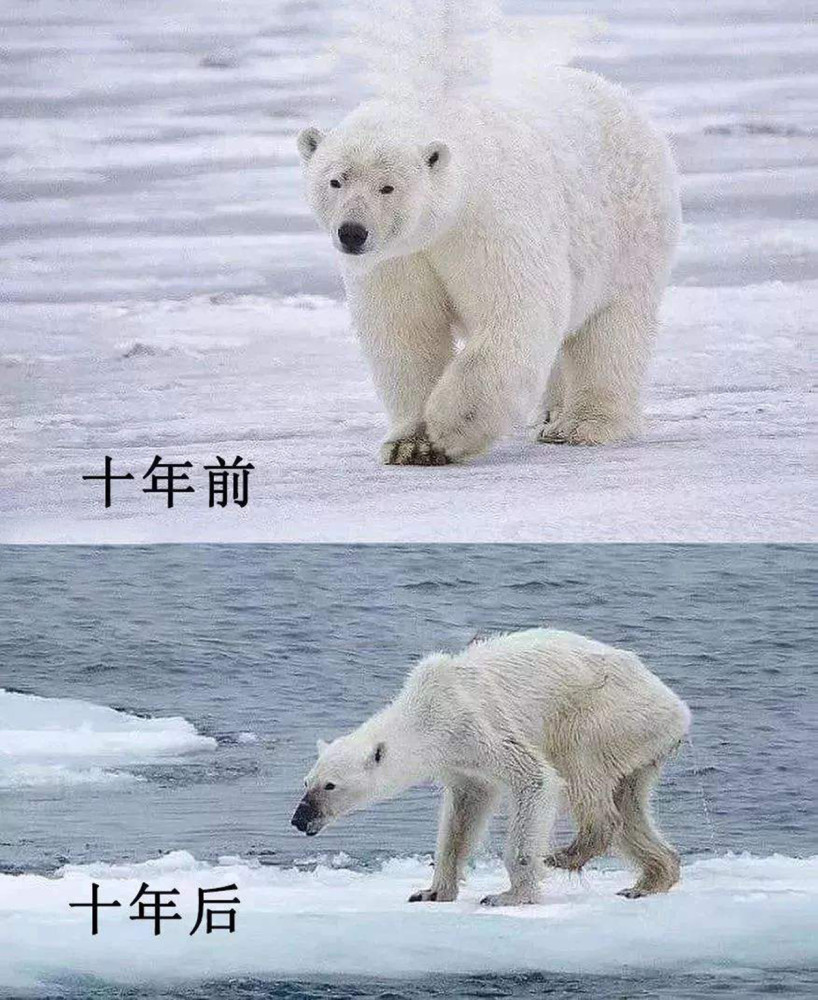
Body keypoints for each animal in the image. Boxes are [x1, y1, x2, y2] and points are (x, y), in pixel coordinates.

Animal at [291, 628, 691, 905]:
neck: (427, 710)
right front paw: (431, 891)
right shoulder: (459, 761)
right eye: (306, 782)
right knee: (630, 805)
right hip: (640, 745)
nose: (299, 818)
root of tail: (677, 707)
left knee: (582, 768)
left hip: (607, 715)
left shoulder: (476, 725)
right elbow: (463, 814)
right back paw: (649, 880)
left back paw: (565, 854)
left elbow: (536, 778)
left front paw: (509, 895)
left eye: (330, 785)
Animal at [296, 4, 681, 465]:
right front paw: (410, 444)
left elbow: (515, 311)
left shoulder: (490, 222)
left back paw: (585, 424)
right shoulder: (399, 257)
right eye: (336, 180)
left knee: (611, 328)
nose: (352, 233)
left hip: (630, 230)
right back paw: (550, 414)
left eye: (387, 186)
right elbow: (406, 330)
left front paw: (449, 428)